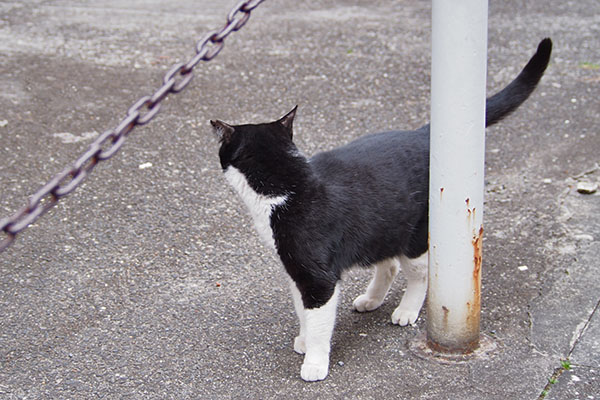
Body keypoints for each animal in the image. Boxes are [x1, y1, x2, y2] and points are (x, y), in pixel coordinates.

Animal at [211, 39, 552, 382]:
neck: (287, 184)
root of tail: (422, 134)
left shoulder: (318, 278)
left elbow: (319, 321)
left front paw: (315, 362)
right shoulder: (296, 272)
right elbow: (302, 311)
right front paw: (304, 340)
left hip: (414, 236)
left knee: (417, 274)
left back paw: (406, 310)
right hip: (381, 226)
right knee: (388, 265)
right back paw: (371, 300)